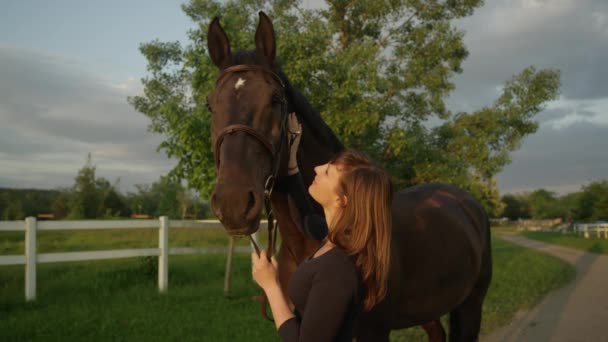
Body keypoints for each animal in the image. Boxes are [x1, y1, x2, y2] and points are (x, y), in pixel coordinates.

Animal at [207, 11, 492, 342]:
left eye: (275, 99)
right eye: (210, 105)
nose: (233, 203)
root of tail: (464, 200)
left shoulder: (374, 331)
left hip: (471, 305)